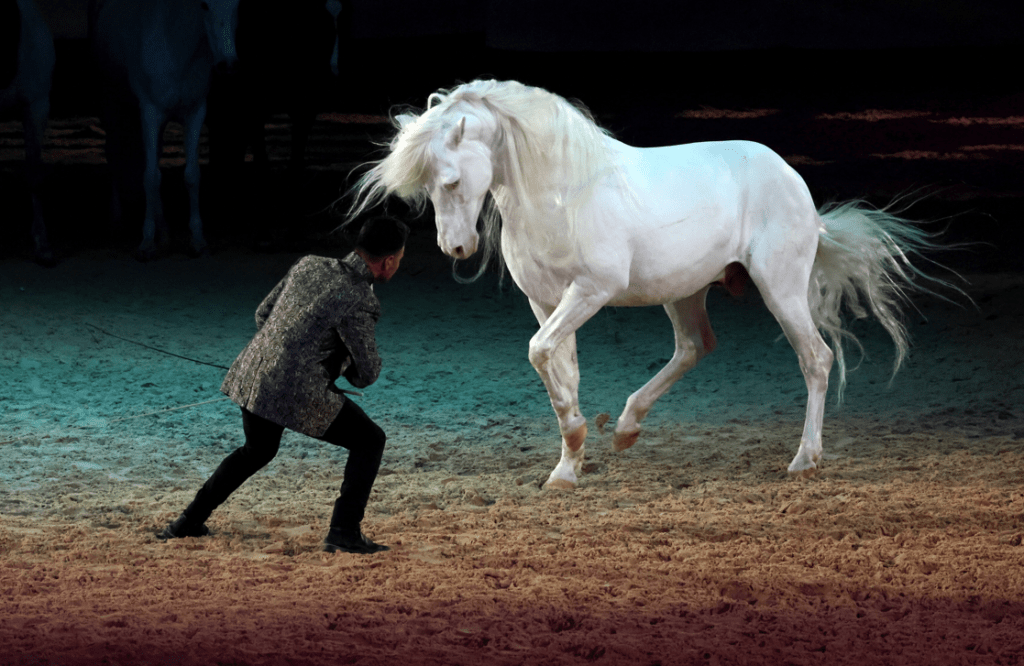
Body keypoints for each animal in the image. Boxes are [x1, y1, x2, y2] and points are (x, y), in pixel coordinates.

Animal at [90, 0, 239, 260]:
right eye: (204, 5)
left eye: (237, 5)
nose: (227, 63)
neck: (177, 49)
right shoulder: (150, 112)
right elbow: (150, 177)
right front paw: (146, 243)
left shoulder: (195, 112)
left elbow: (191, 176)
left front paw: (197, 241)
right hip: (112, 104)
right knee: (114, 155)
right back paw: (117, 222)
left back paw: (165, 233)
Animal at [351, 79, 957, 489]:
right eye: (428, 185)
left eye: (452, 180)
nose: (456, 249)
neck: (561, 193)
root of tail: (793, 181)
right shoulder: (546, 301)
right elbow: (559, 367)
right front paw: (568, 466)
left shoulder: (589, 292)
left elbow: (540, 352)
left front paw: (576, 439)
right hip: (686, 292)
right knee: (694, 347)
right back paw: (626, 428)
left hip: (780, 288)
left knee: (816, 358)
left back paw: (804, 459)